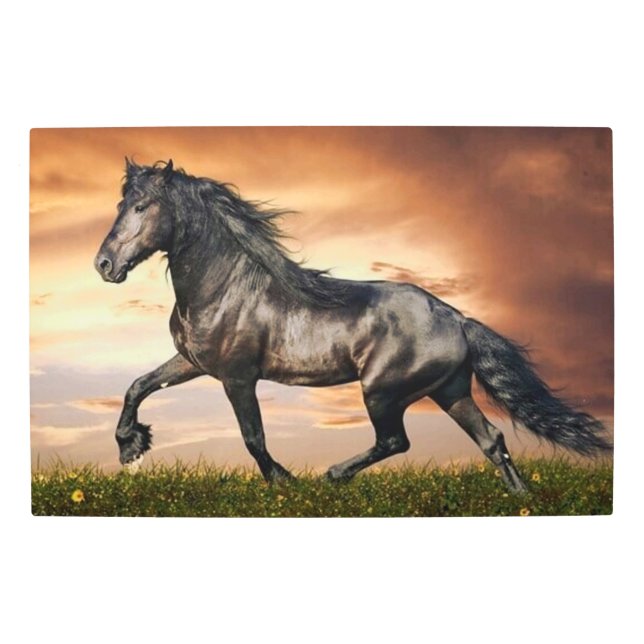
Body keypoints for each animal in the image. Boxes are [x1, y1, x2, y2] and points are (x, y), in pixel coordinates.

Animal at [94, 158, 611, 493]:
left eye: (141, 206)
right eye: (121, 205)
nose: (104, 264)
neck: (225, 286)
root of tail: (457, 319)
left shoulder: (237, 377)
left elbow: (253, 437)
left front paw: (285, 482)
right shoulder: (193, 362)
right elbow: (138, 386)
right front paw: (131, 447)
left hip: (382, 391)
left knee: (396, 441)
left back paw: (333, 475)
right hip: (450, 392)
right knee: (491, 440)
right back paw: (521, 498)